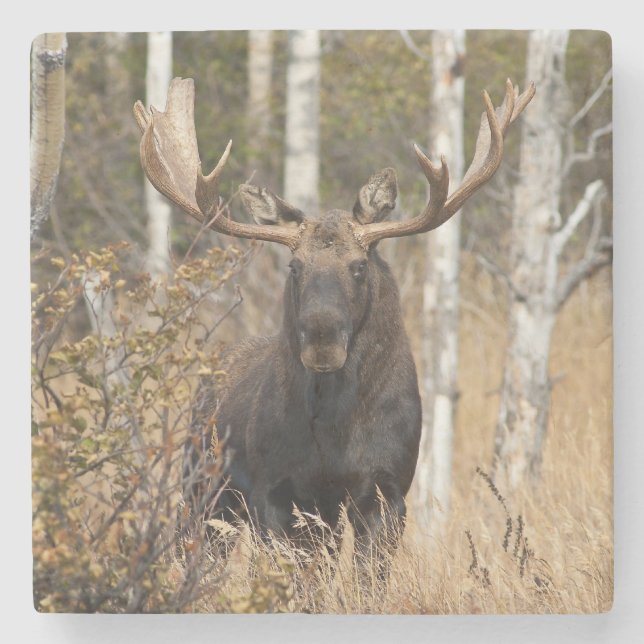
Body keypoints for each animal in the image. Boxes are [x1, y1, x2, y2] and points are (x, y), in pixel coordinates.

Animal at [134, 76, 534, 578]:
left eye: (359, 266)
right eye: (295, 267)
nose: (322, 340)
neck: (337, 431)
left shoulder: (387, 489)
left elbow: (367, 581)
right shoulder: (278, 493)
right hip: (202, 490)